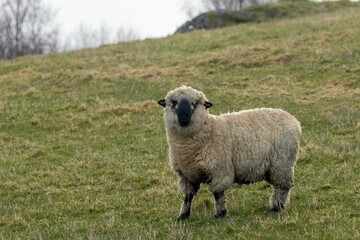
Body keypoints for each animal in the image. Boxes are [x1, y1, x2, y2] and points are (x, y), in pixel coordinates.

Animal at [158, 85, 300, 220]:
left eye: (195, 103)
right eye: (174, 102)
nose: (184, 115)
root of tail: (293, 119)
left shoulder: (219, 170)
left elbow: (218, 194)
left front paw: (220, 214)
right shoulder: (186, 175)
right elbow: (188, 197)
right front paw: (183, 216)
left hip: (282, 163)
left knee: (283, 187)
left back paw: (277, 207)